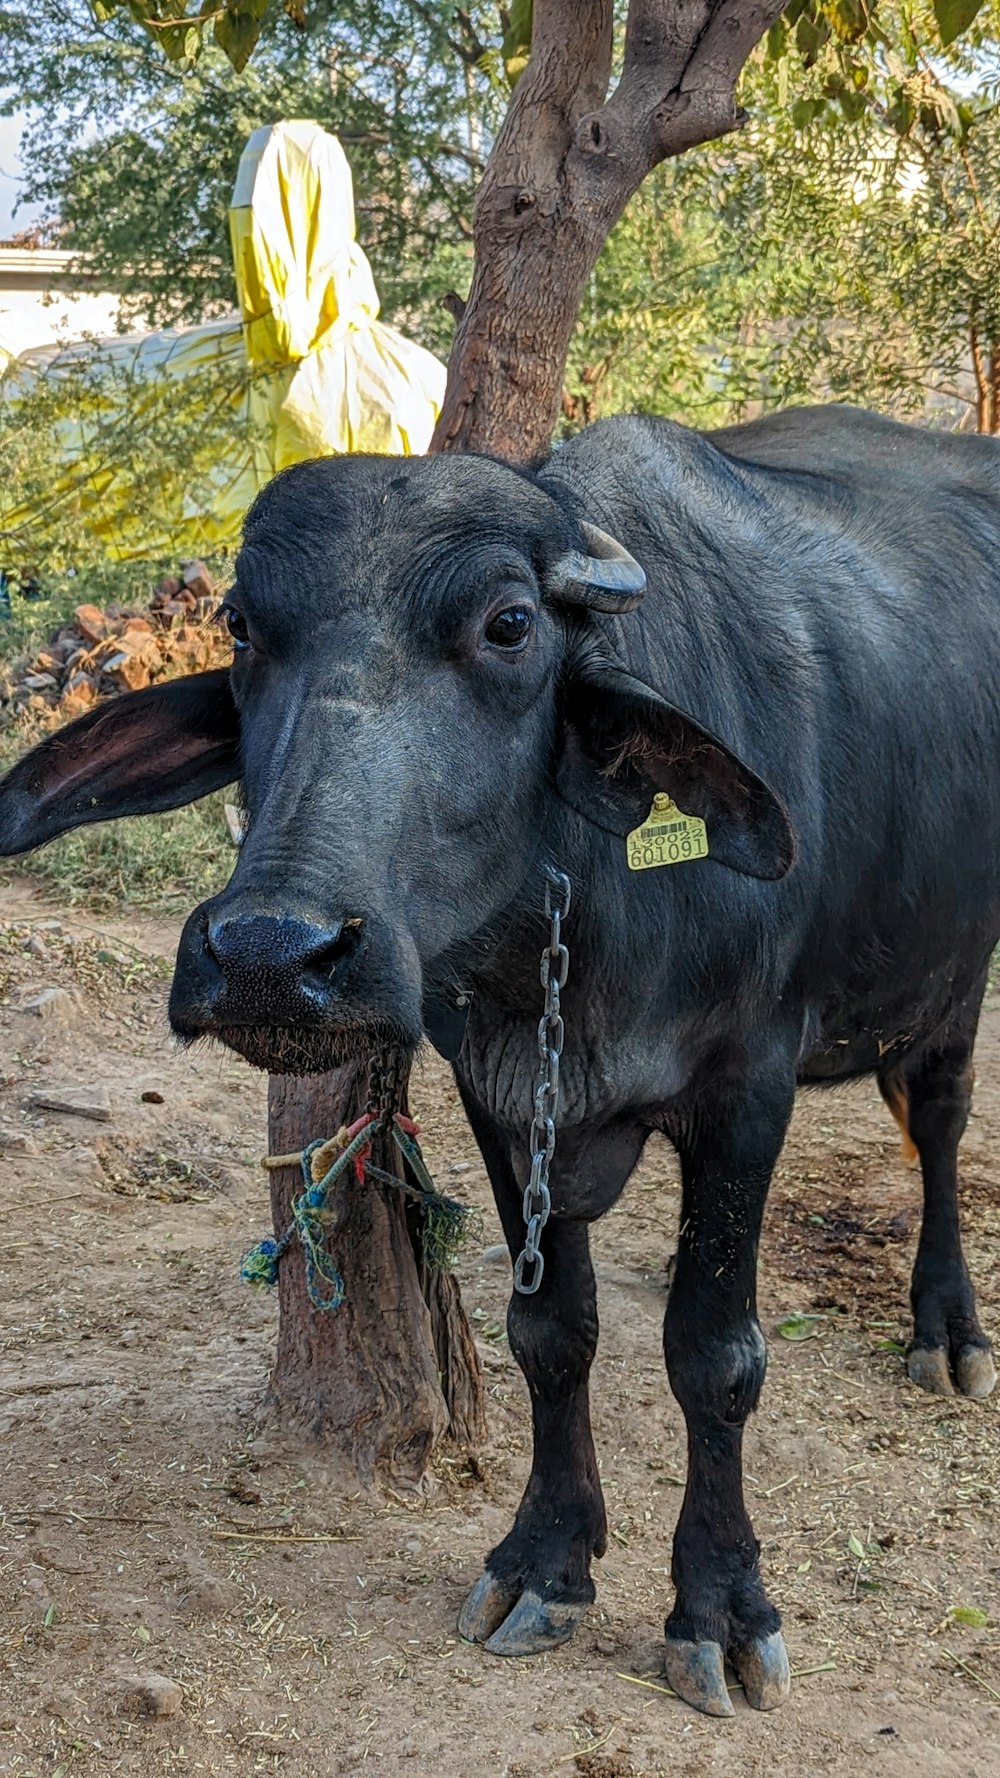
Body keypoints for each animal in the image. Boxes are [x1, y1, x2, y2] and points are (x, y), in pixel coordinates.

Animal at [1, 408, 996, 1713]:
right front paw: (546, 1559)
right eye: (243, 627)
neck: (573, 921)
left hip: (962, 961)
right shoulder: (498, 1086)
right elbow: (550, 1332)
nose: (269, 952)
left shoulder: (749, 1086)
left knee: (936, 1114)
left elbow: (715, 1353)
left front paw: (721, 1606)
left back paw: (950, 1330)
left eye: (509, 626)